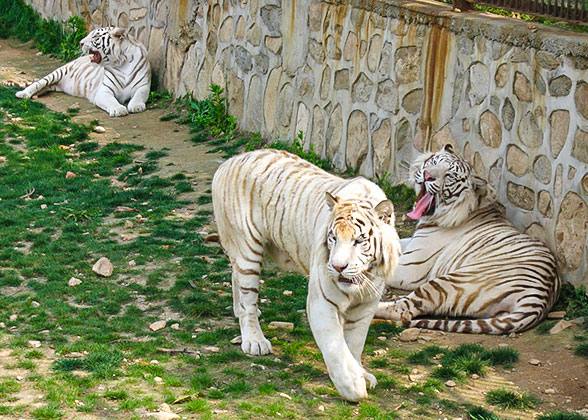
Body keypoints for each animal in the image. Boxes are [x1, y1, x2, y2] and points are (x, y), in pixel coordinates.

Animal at [15, 26, 150, 117]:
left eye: (95, 36)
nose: (80, 43)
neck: (121, 63)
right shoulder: (104, 91)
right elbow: (111, 100)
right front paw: (119, 109)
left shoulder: (143, 85)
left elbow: (139, 95)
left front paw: (136, 106)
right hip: (56, 74)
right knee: (37, 84)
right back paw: (23, 94)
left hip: (51, 86)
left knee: (43, 88)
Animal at [214, 148, 402, 400]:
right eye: (333, 238)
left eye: (358, 240)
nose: (338, 267)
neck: (362, 279)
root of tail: (229, 162)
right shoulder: (322, 301)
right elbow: (335, 347)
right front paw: (353, 385)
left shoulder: (366, 305)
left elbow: (354, 344)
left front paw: (361, 374)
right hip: (248, 250)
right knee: (247, 301)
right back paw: (254, 340)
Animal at [376, 145, 560, 334]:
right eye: (433, 162)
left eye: (449, 175)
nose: (427, 175)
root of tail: (539, 300)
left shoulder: (410, 268)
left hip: (448, 282)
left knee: (403, 309)